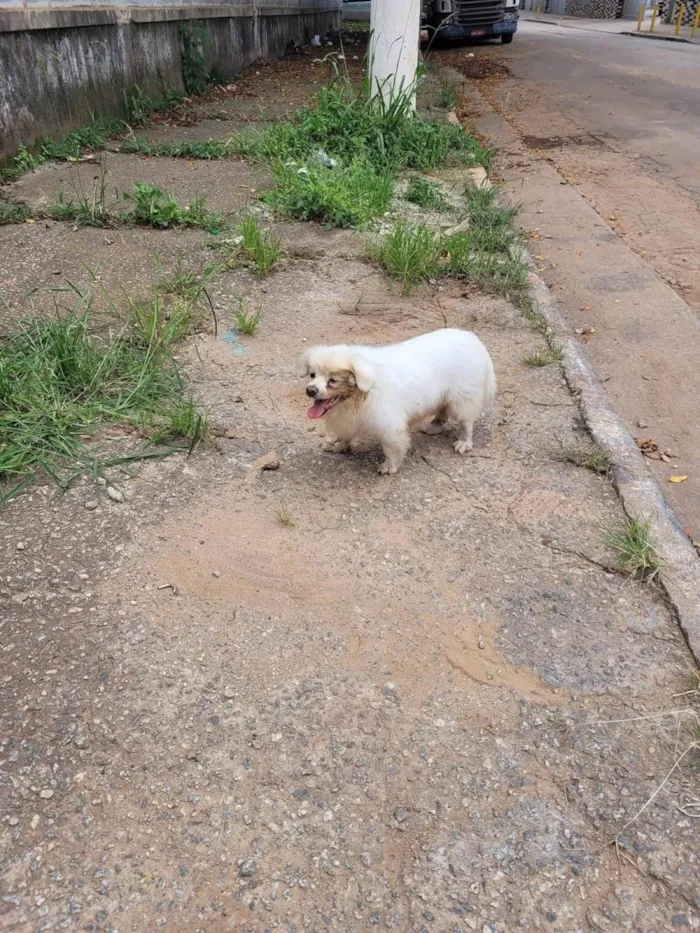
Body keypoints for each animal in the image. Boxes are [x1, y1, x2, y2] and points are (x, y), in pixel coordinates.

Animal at [302, 328, 498, 474]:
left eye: (333, 380)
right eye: (312, 375)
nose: (310, 390)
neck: (363, 394)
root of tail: (473, 339)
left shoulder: (390, 427)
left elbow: (391, 449)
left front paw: (389, 466)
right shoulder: (348, 420)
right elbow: (344, 436)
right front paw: (337, 445)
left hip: (462, 399)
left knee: (466, 423)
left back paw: (464, 442)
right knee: (442, 411)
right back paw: (434, 426)